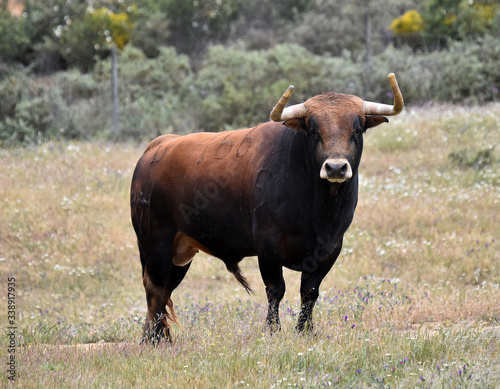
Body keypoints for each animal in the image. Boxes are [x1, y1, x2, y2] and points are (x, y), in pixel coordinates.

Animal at [129, 73, 402, 342]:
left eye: (357, 129)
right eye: (313, 130)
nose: (336, 167)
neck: (317, 211)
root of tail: (159, 145)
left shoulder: (330, 248)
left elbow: (309, 292)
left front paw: (305, 330)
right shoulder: (268, 244)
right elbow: (275, 290)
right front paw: (273, 330)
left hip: (180, 253)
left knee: (165, 291)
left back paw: (158, 336)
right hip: (156, 242)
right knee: (155, 289)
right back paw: (153, 339)